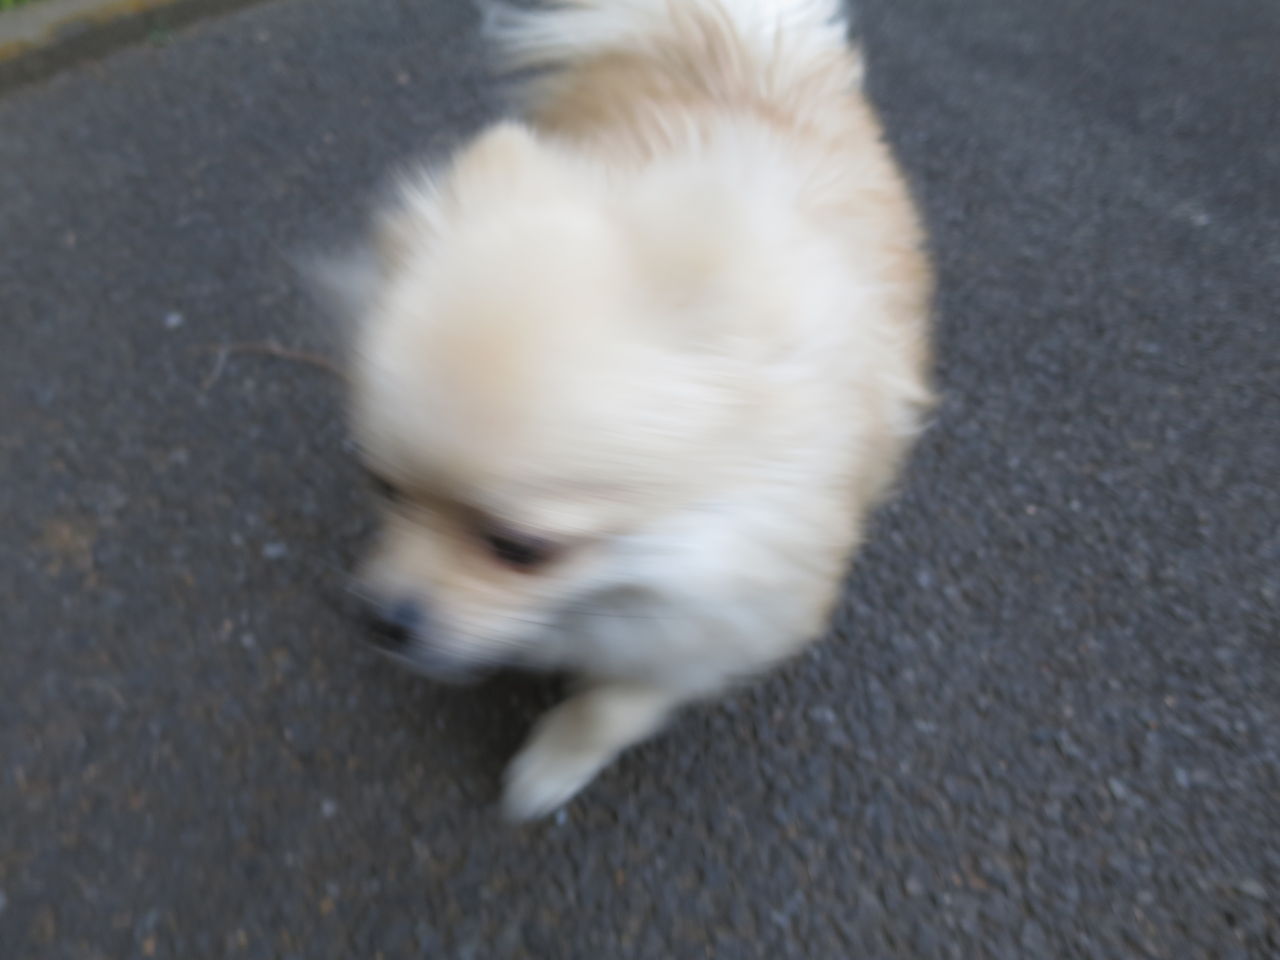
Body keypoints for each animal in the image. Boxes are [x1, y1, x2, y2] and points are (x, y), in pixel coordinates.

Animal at [331, 0, 933, 819]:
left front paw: (549, 767)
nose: (385, 618)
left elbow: (617, 703)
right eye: (384, 489)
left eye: (521, 547)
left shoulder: (733, 601)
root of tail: (747, 50)